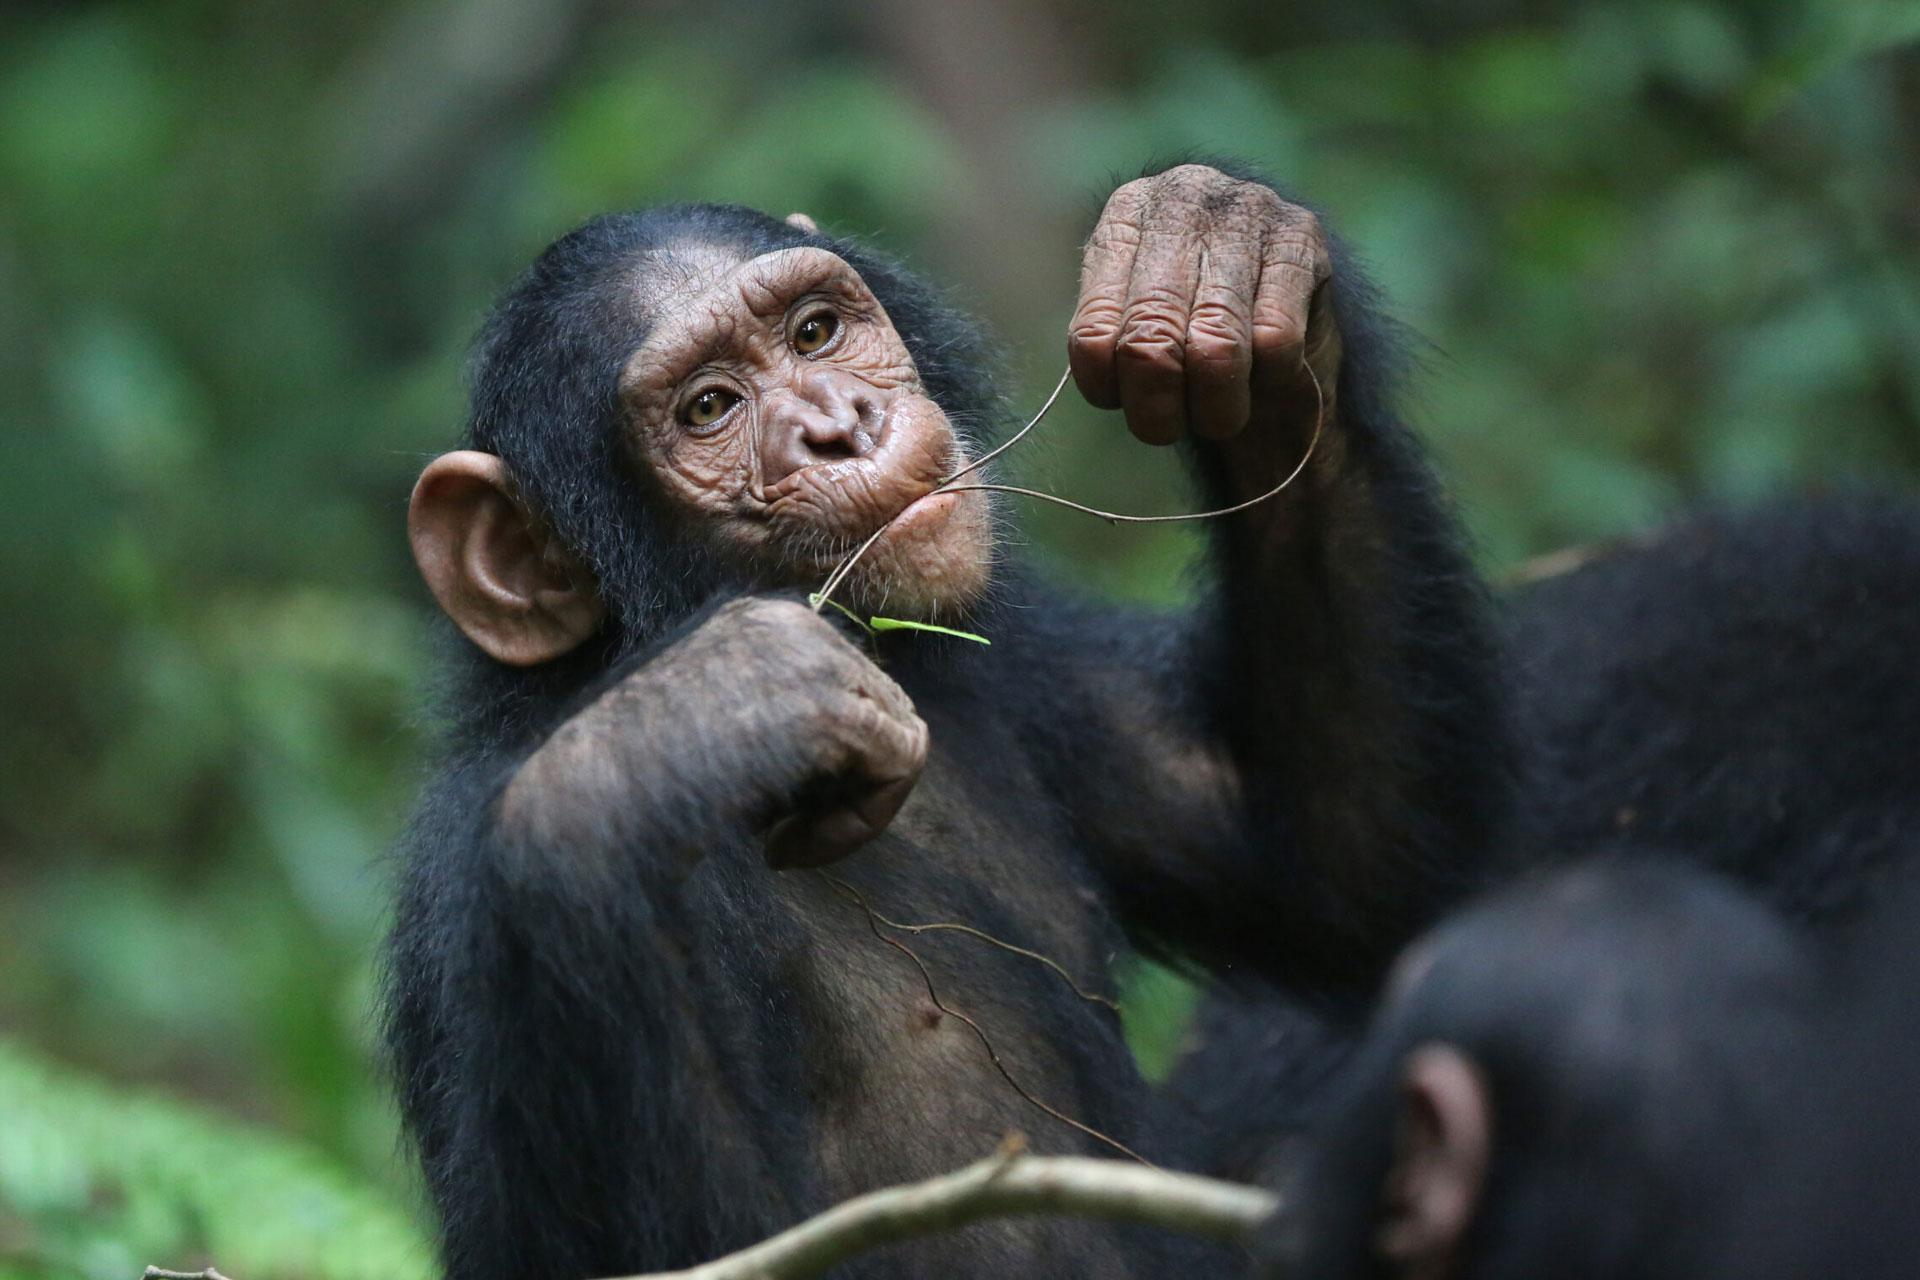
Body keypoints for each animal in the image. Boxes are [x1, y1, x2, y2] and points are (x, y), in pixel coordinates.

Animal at [382, 163, 1505, 1280]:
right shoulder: (462, 886)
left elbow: (1342, 870)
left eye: (815, 333)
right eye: (708, 407)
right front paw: (681, 729)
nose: (841, 421)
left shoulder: (1028, 657)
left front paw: (1217, 254)